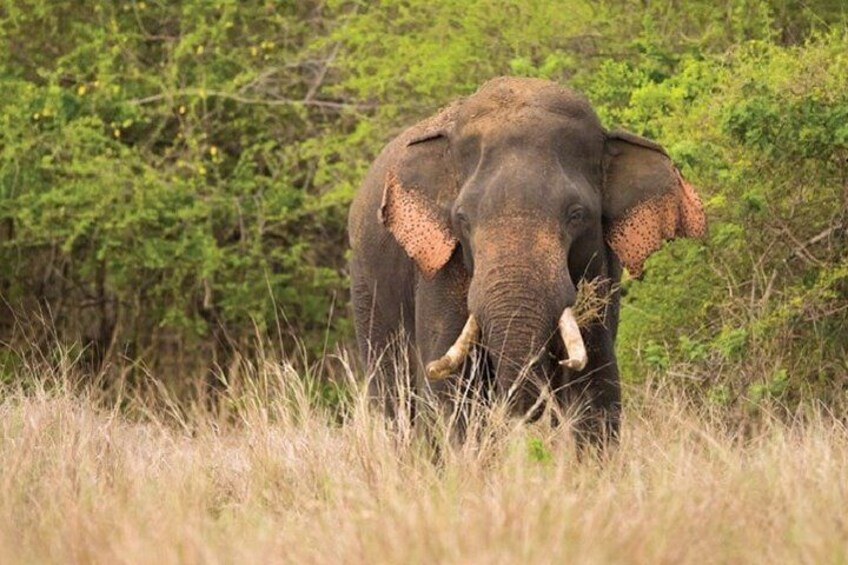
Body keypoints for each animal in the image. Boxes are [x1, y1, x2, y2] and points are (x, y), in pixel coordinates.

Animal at [348, 77, 704, 442]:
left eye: (576, 215)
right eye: (462, 219)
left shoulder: (600, 264)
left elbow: (596, 383)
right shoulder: (441, 267)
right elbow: (451, 389)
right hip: (366, 288)